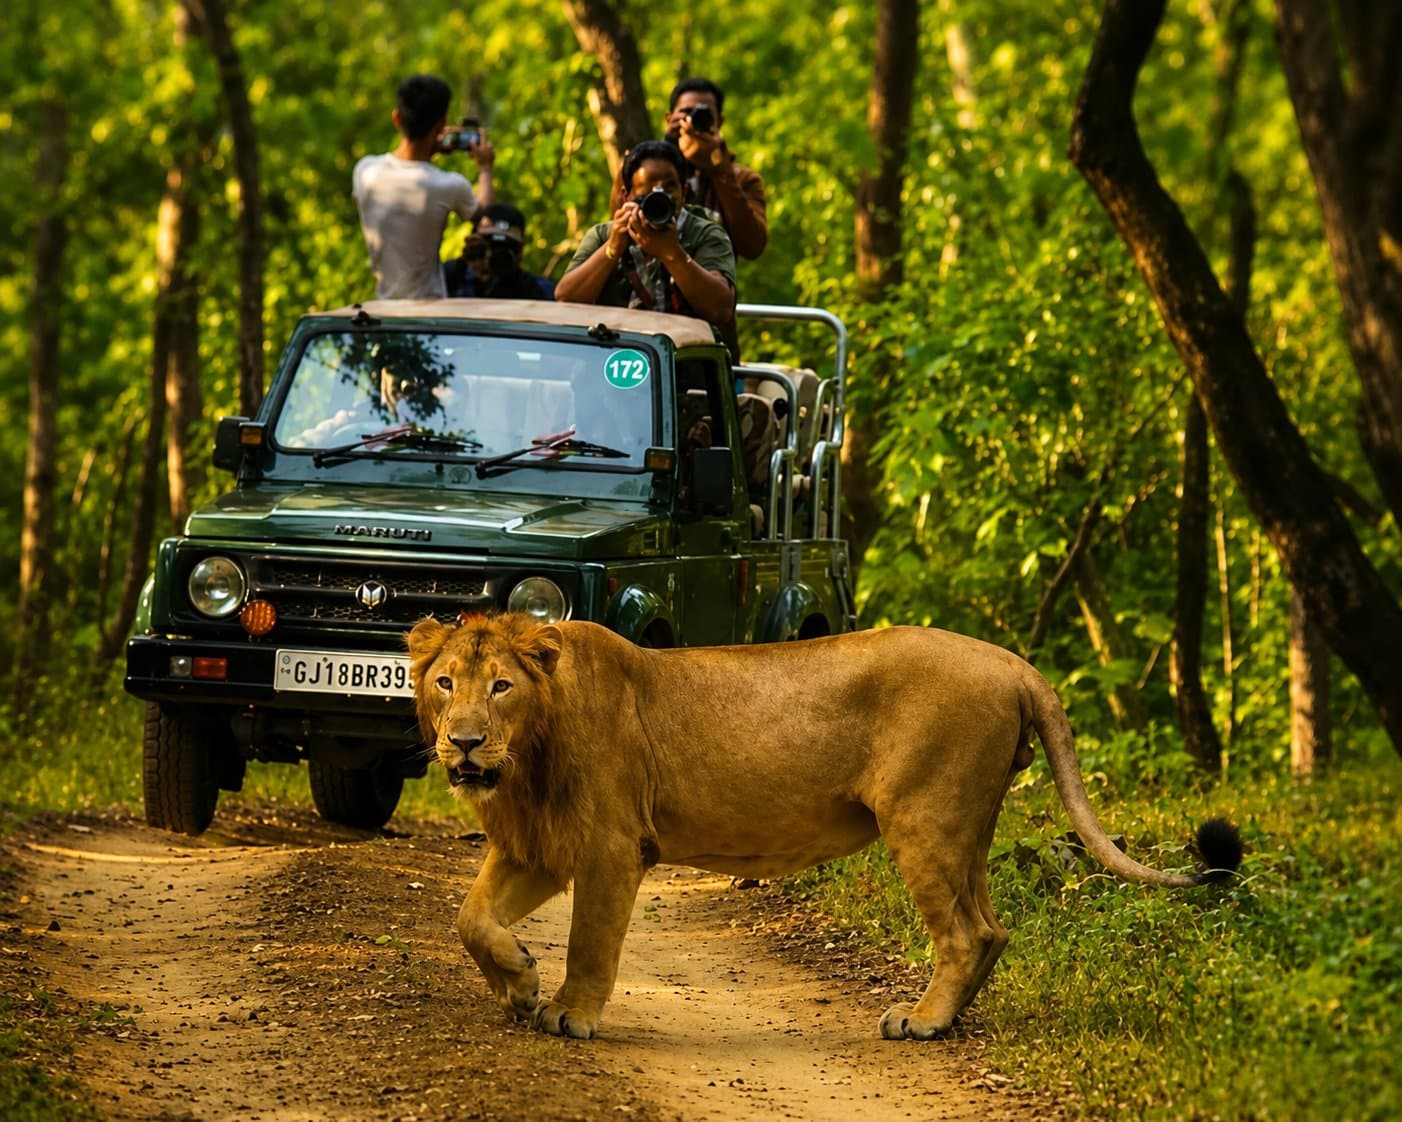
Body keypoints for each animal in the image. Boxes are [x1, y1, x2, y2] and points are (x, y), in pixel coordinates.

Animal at [407, 612, 1241, 1041]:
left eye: (501, 687)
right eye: (445, 682)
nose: (464, 743)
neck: (526, 757)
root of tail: (1013, 663)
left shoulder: (613, 843)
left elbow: (588, 942)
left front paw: (567, 1013)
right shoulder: (539, 844)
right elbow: (469, 918)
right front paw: (517, 983)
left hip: (924, 815)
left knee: (967, 932)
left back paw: (922, 1022)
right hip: (969, 823)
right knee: (993, 928)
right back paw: (950, 1018)